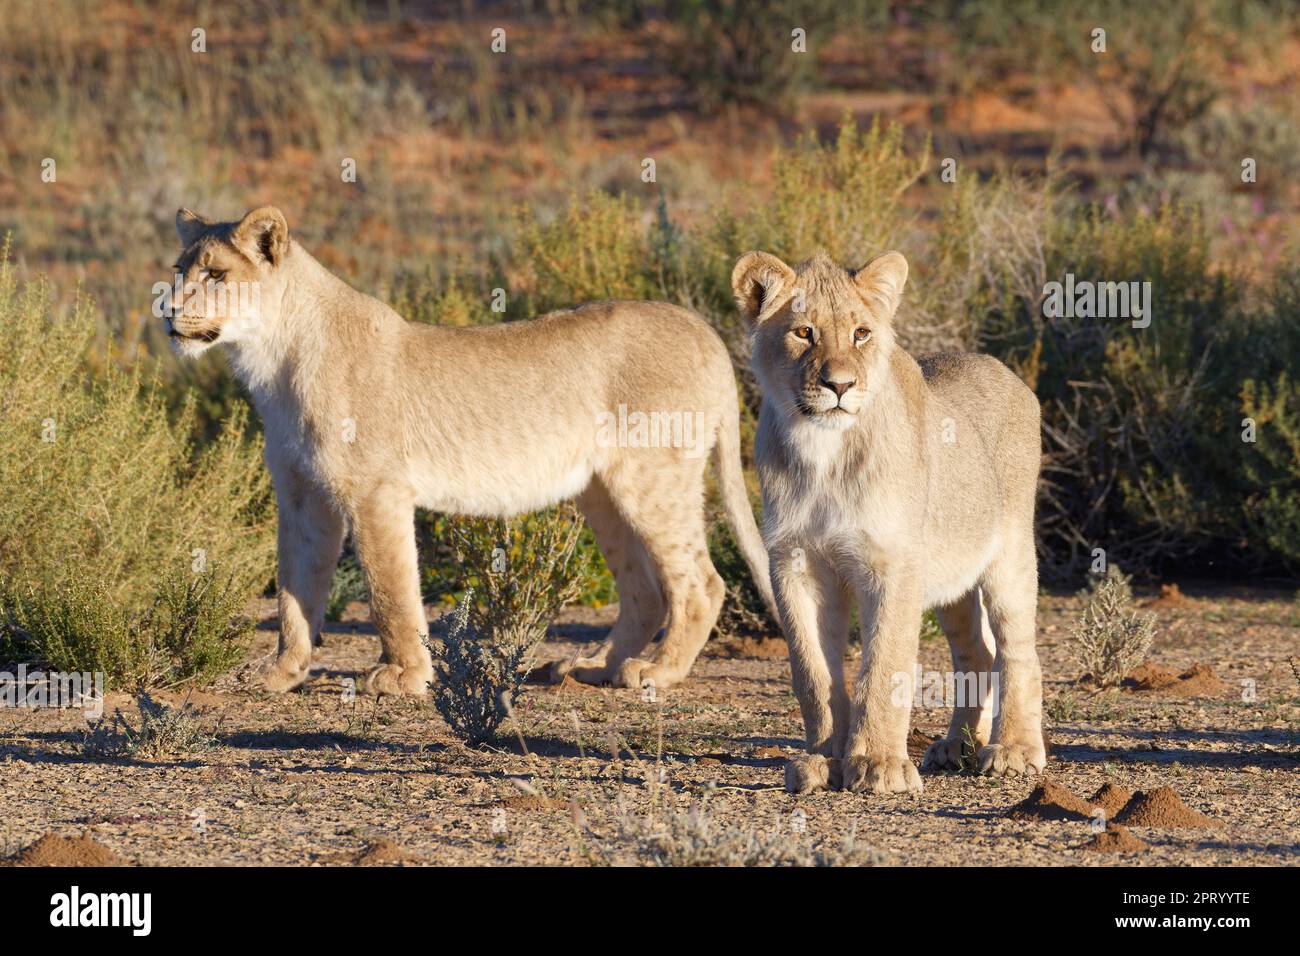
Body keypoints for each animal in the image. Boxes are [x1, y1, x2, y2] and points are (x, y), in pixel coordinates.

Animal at [733, 247, 1045, 790]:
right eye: (803, 332)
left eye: (861, 332)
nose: (839, 385)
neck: (824, 451)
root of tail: (1001, 368)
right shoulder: (796, 562)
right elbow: (812, 671)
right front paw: (823, 759)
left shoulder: (893, 563)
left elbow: (885, 664)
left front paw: (879, 764)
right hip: (950, 577)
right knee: (977, 652)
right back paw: (957, 748)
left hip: (1008, 554)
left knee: (1017, 652)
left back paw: (1013, 751)